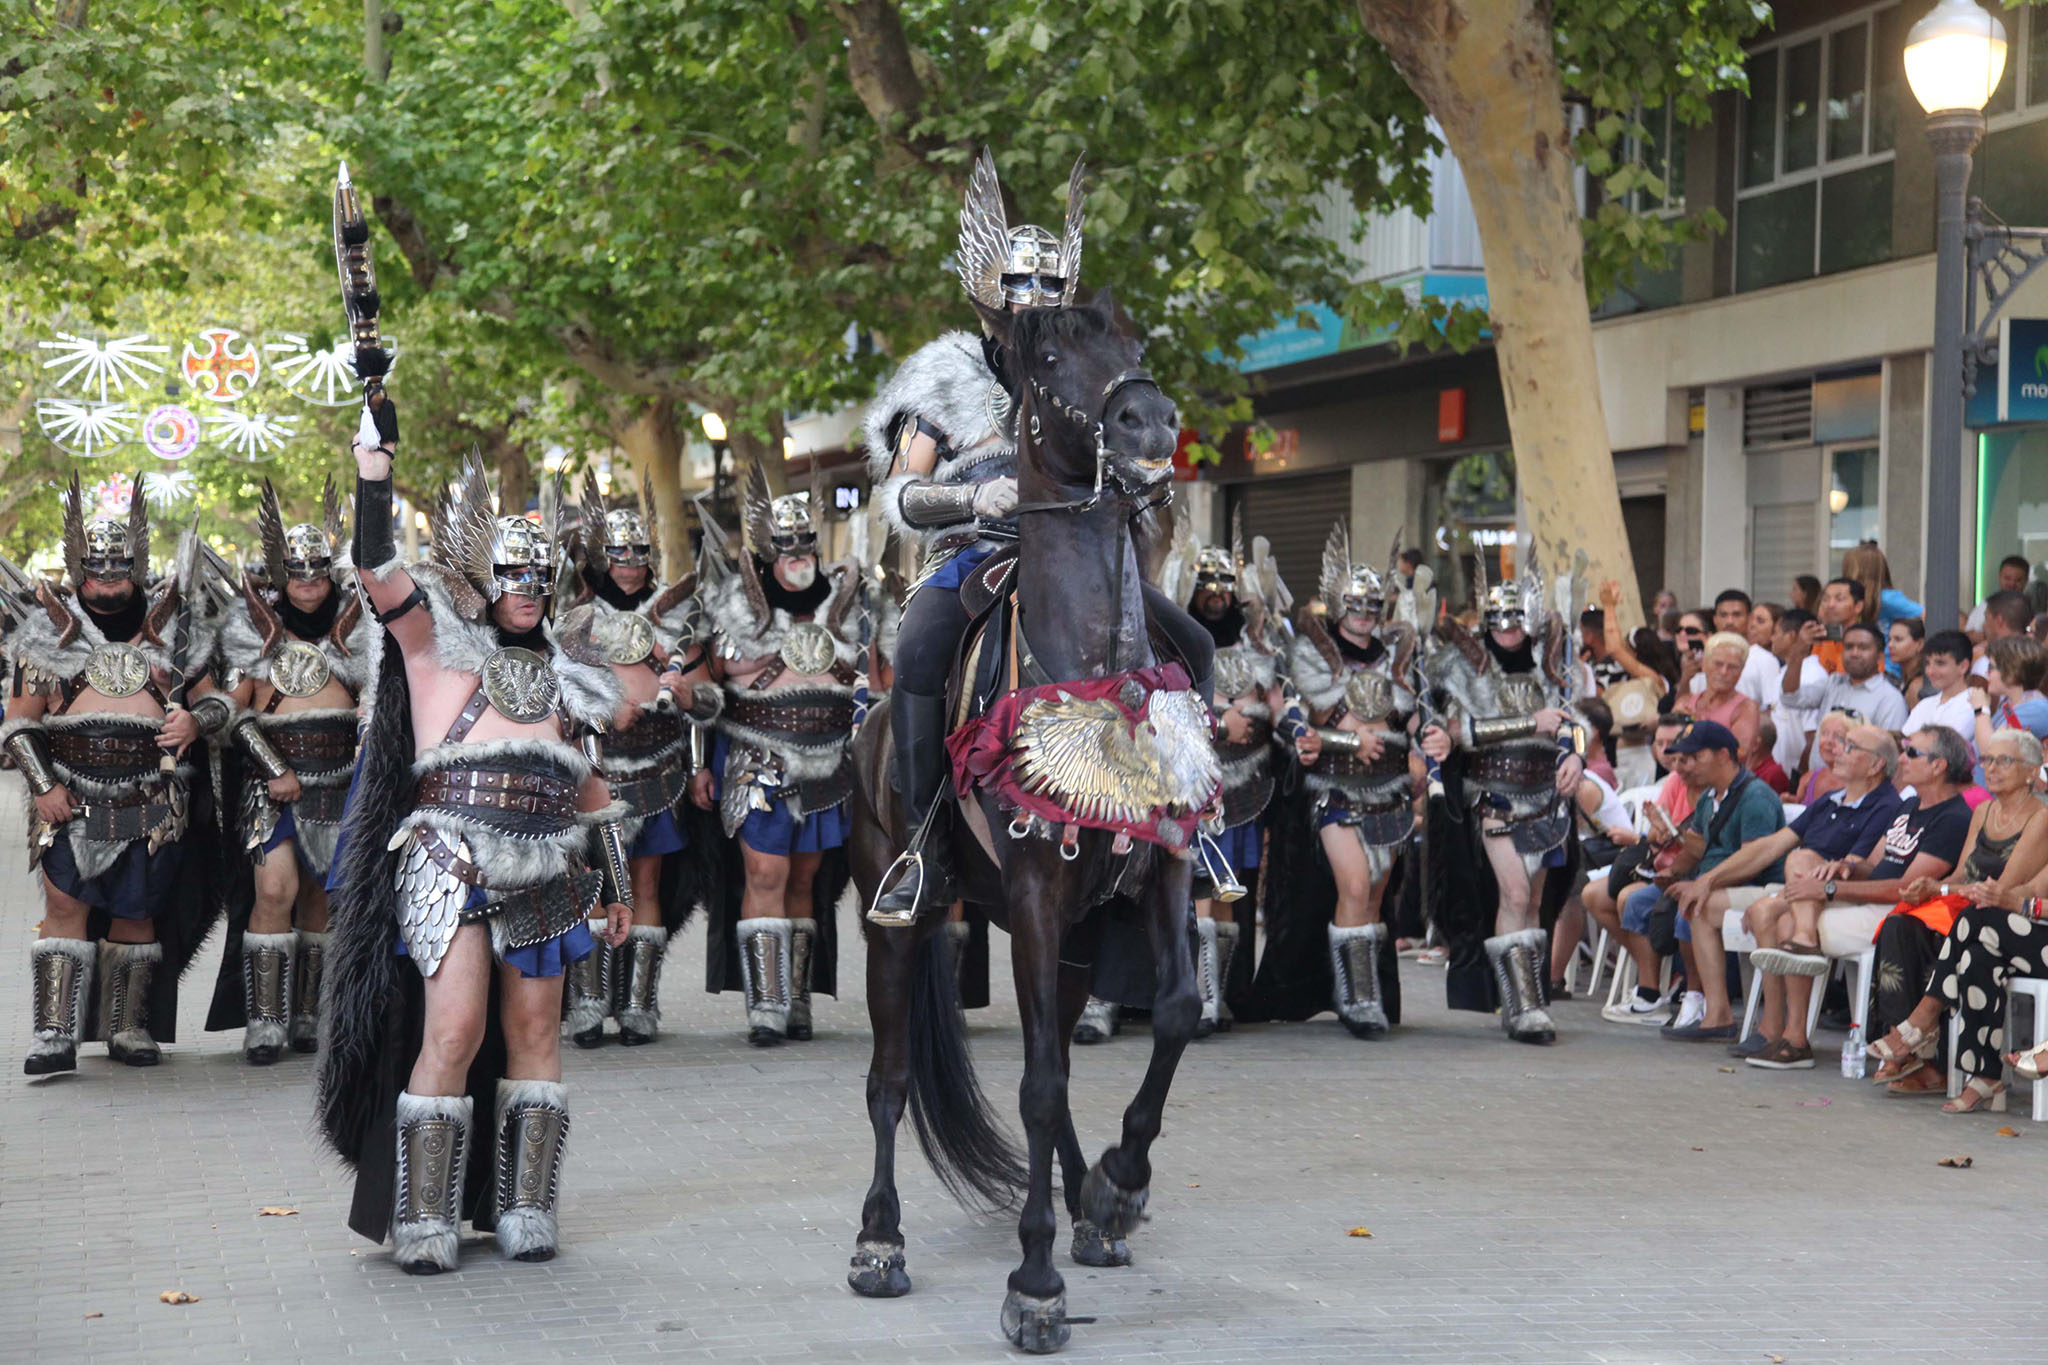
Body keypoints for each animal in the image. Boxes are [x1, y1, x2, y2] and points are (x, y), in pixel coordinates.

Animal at [843, 294, 1196, 1350]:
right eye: (1046, 364)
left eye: (1134, 345)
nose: (1150, 424)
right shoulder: (1037, 893)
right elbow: (1034, 1086)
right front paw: (1034, 1286)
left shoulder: (1155, 877)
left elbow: (1171, 1012)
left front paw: (1118, 1187)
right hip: (902, 924)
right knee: (889, 1079)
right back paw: (880, 1242)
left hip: (1077, 935)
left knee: (1063, 1062)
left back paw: (1089, 1206)